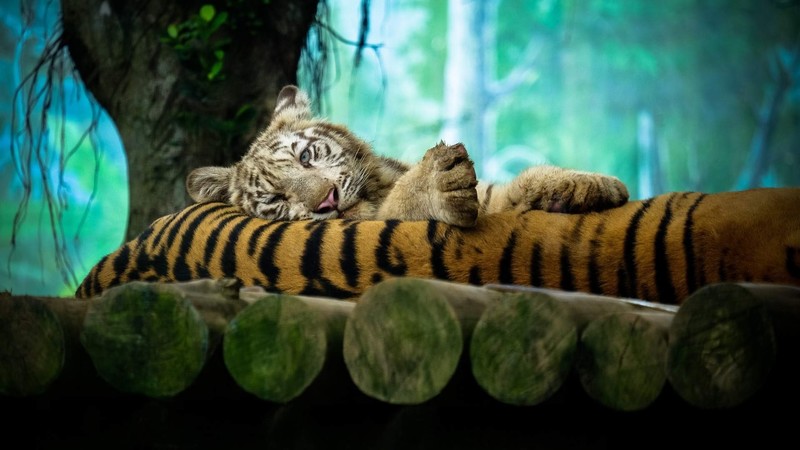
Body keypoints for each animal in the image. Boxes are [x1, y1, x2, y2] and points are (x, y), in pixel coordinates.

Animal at [185, 85, 629, 227]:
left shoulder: (492, 197)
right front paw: (433, 186)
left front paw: (591, 184)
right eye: (276, 200)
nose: (327, 201)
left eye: (307, 157)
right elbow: (405, 201)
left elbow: (514, 184)